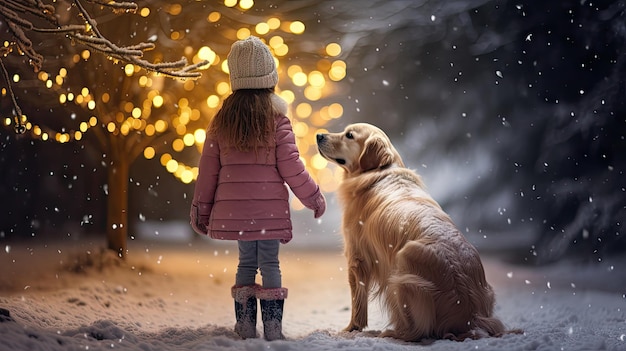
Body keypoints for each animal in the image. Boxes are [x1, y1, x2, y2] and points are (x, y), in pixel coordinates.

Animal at [316, 123, 512, 340]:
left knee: (417, 332)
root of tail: (471, 316)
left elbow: (357, 301)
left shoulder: (356, 256)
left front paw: (351, 329)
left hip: (402, 271)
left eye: (349, 135)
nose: (319, 135)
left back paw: (393, 332)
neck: (379, 173)